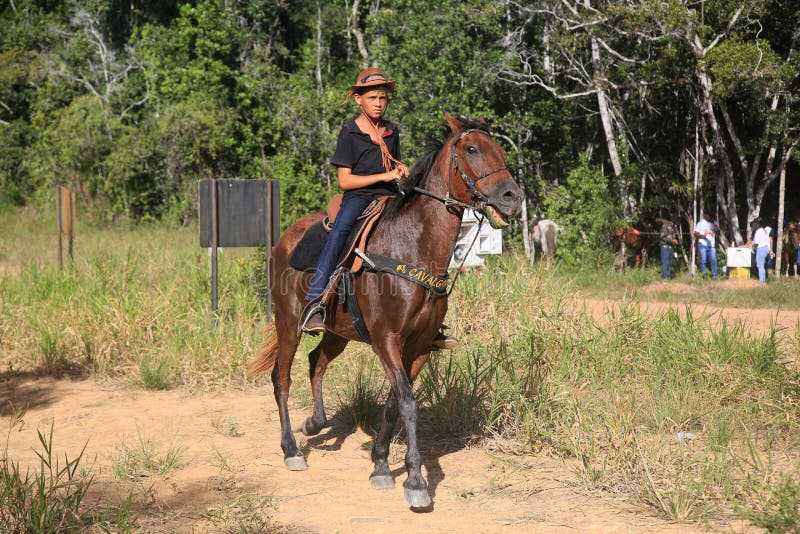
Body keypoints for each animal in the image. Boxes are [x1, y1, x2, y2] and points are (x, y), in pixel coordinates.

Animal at [250, 115, 524, 508]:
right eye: (472, 149)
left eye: (499, 148)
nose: (512, 197)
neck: (413, 246)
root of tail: (284, 239)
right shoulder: (386, 340)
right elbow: (407, 402)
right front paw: (416, 481)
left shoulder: (420, 346)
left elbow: (396, 400)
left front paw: (380, 463)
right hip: (288, 323)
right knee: (281, 378)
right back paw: (291, 450)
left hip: (338, 333)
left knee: (316, 361)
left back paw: (315, 423)